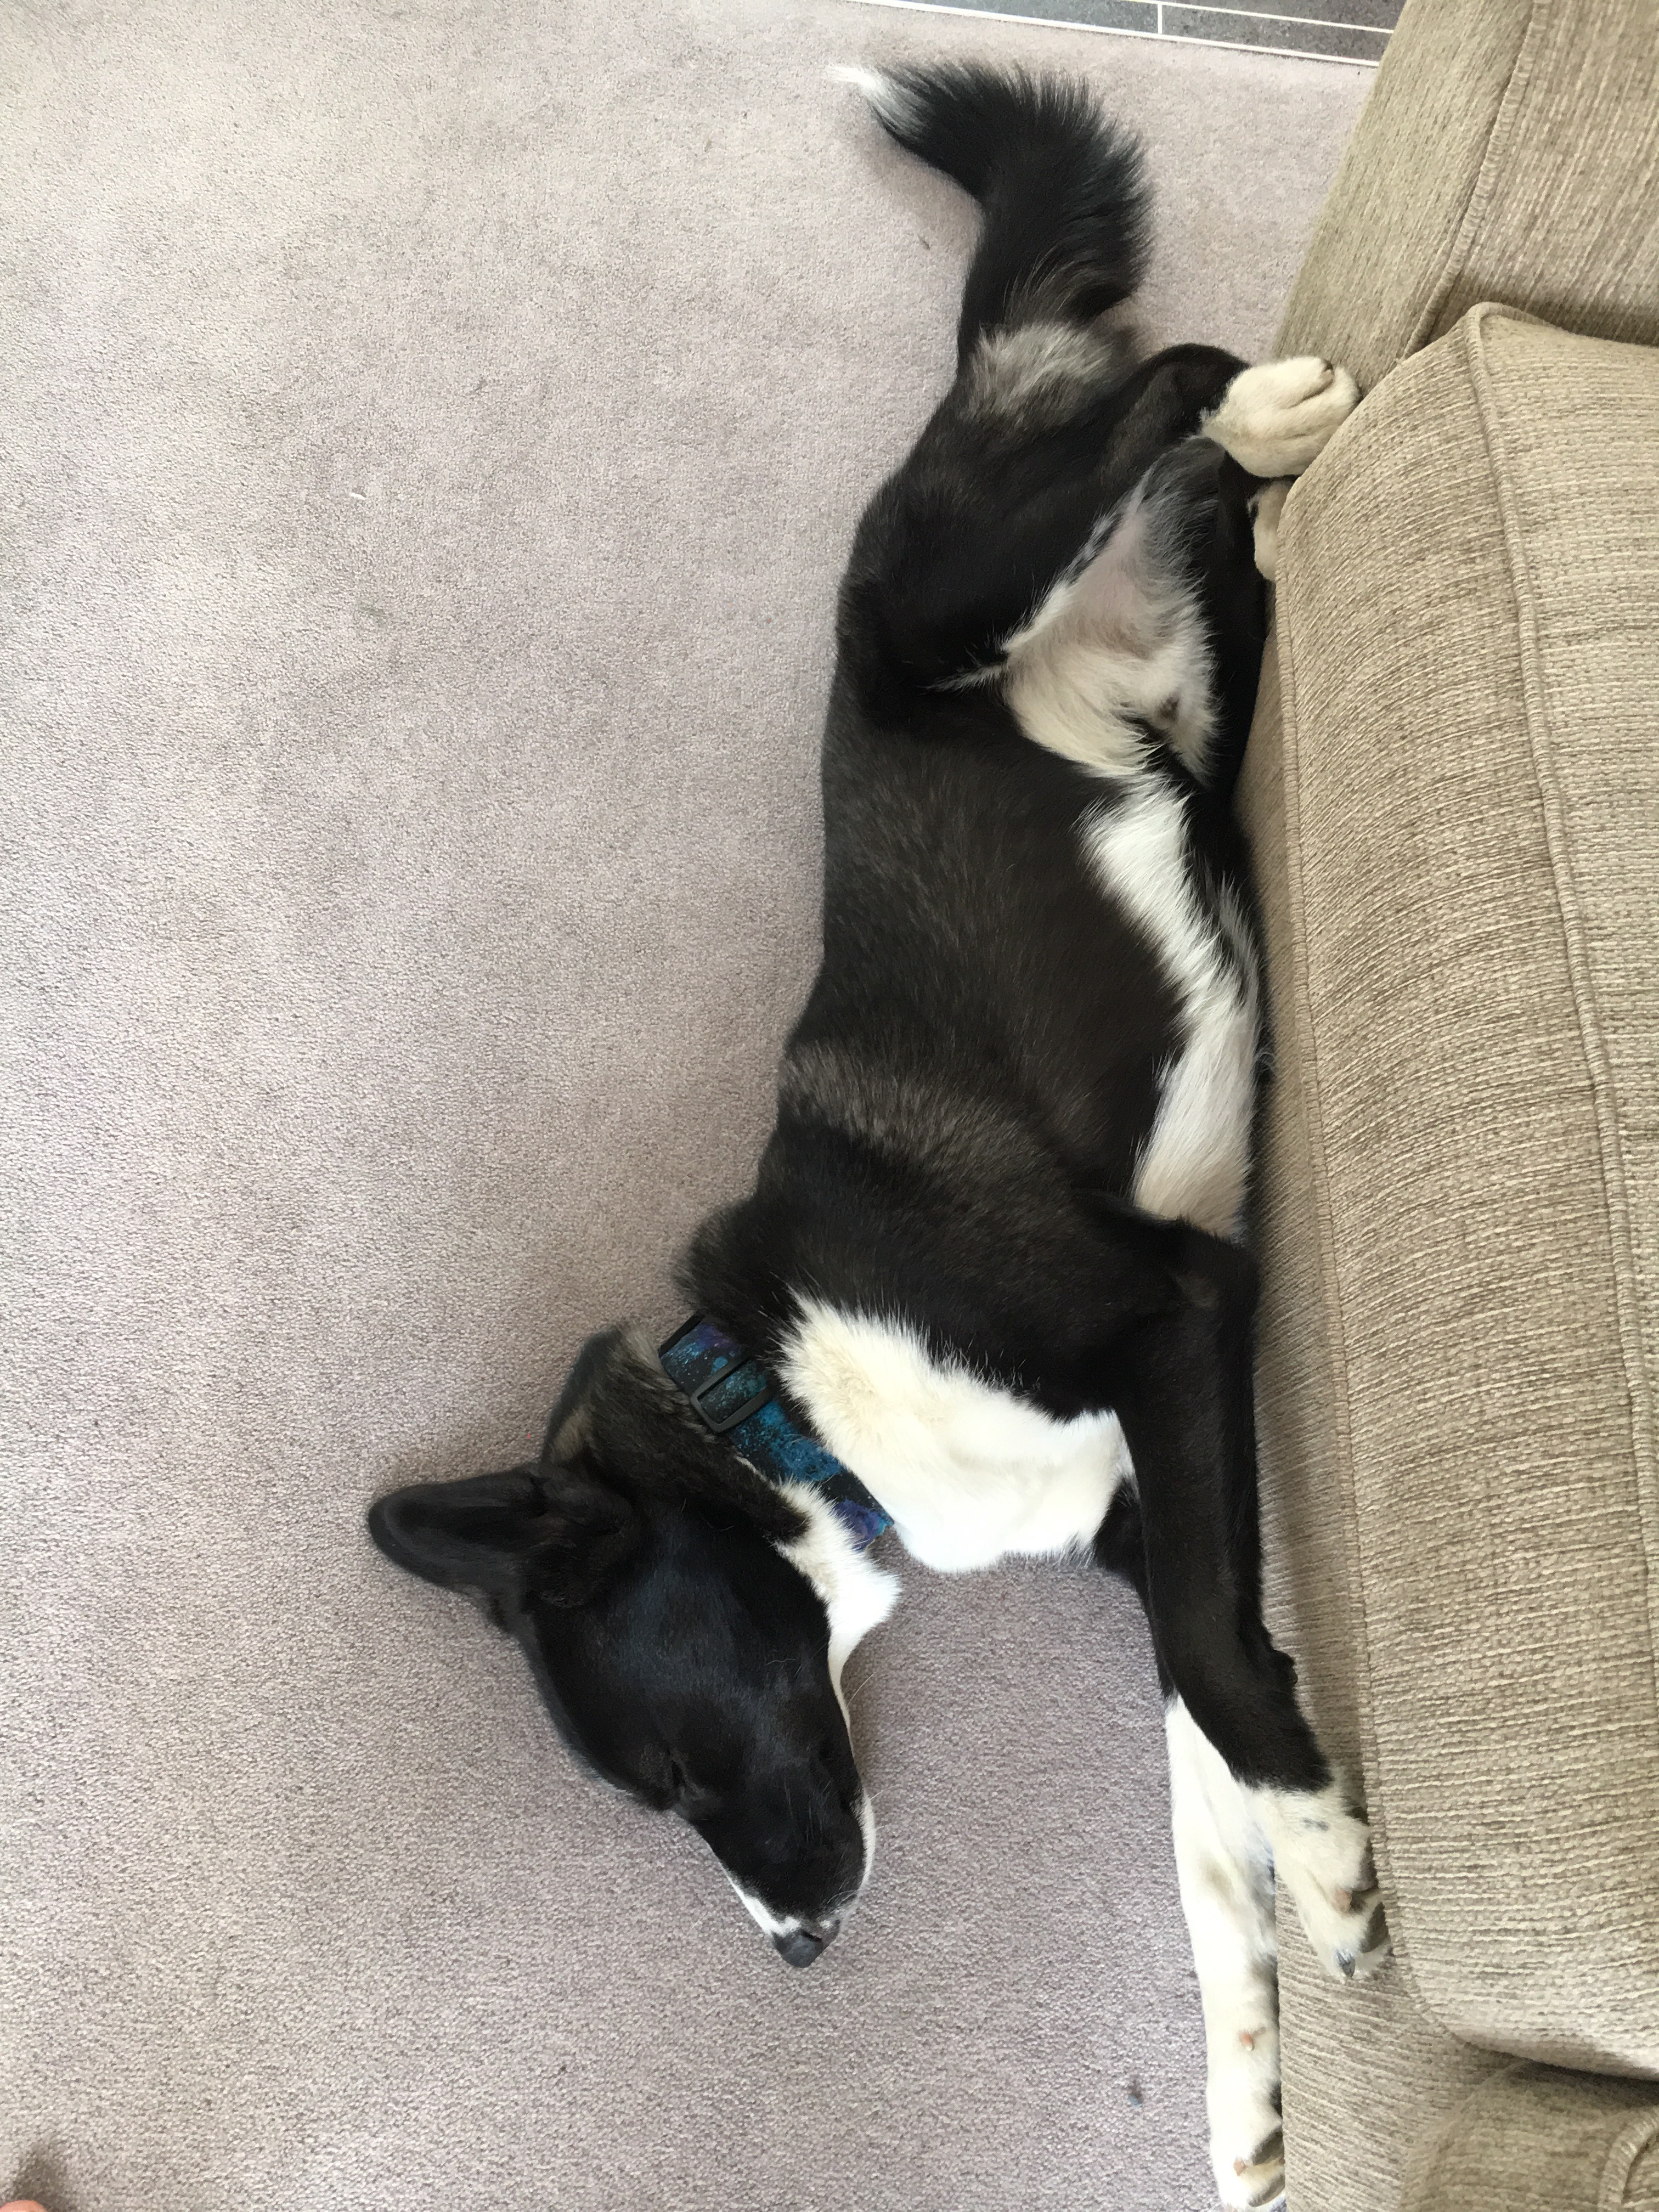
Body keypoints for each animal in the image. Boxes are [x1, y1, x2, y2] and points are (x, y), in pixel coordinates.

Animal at [370, 64, 1386, 2210]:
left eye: (669, 1774)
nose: (796, 1953)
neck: (783, 1399)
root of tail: (972, 382)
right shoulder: (1152, 1490)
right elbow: (1209, 1780)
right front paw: (1254, 2090)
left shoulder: (1175, 1320)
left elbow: (1222, 1678)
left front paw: (1339, 1875)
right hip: (1185, 653)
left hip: (920, 591)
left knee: (1158, 377)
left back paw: (1261, 403)